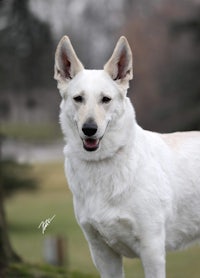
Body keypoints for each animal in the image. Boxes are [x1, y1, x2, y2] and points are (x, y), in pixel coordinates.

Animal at [54, 35, 200, 276]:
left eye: (106, 99)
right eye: (78, 98)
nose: (89, 129)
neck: (103, 163)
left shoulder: (152, 249)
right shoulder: (102, 253)